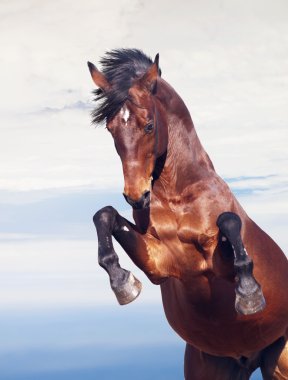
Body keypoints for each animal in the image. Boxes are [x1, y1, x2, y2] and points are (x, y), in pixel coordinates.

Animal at [88, 49, 288, 378]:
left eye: (149, 125)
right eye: (110, 128)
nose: (136, 196)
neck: (178, 197)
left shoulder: (218, 265)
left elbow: (229, 222)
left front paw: (249, 293)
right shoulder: (160, 265)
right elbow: (104, 215)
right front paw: (123, 283)